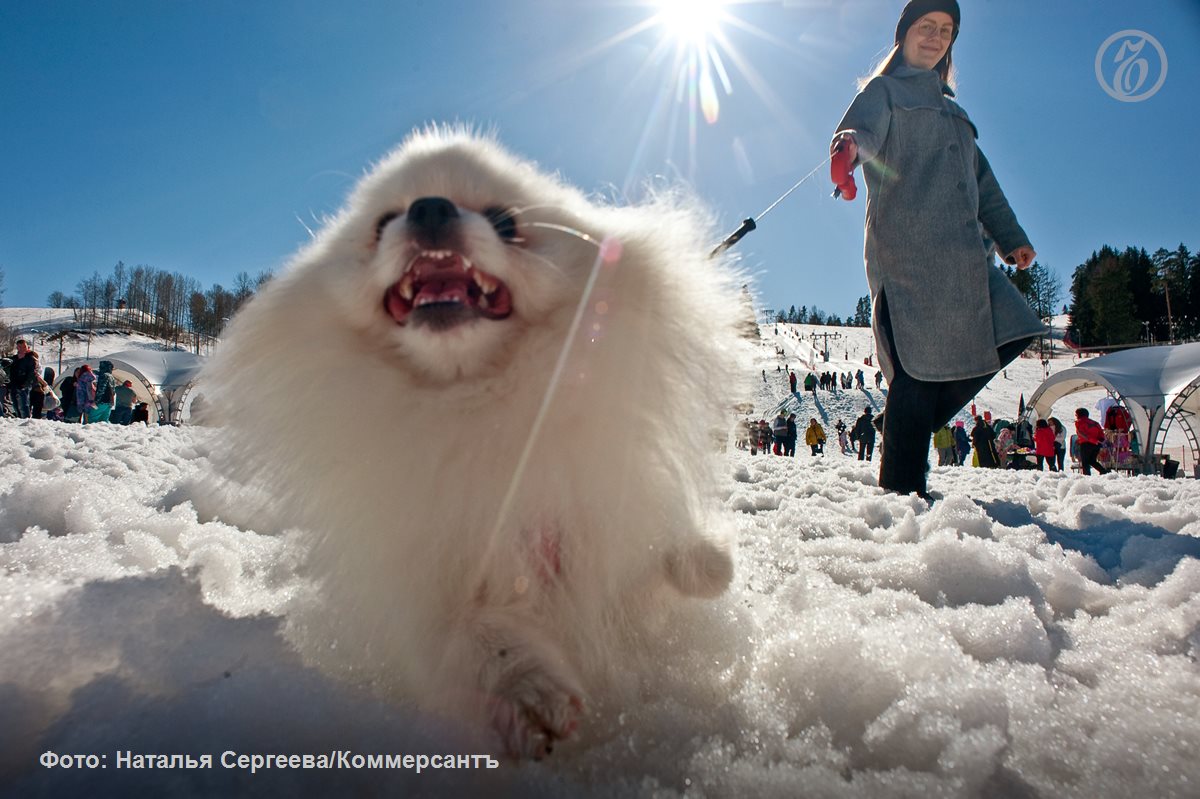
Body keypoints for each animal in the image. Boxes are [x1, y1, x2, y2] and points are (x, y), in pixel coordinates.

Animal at [206, 127, 748, 758]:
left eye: (505, 221)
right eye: (383, 221)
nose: (429, 208)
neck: (477, 408)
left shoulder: (595, 528)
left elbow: (663, 554)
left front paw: (705, 559)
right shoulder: (429, 592)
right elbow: (482, 637)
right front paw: (532, 696)